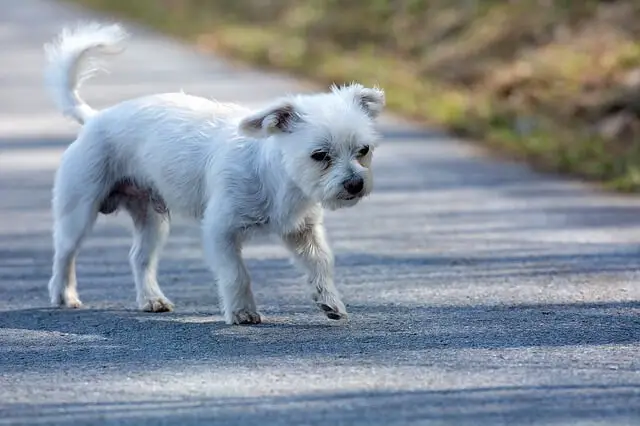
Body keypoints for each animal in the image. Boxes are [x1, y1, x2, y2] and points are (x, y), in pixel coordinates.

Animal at [45, 21, 384, 324]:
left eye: (363, 150)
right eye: (320, 155)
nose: (355, 184)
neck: (280, 180)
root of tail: (94, 119)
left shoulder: (303, 233)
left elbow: (321, 264)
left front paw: (330, 301)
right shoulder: (221, 231)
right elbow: (236, 274)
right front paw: (242, 312)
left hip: (152, 221)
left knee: (140, 258)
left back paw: (151, 299)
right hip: (79, 211)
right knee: (64, 253)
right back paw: (64, 295)